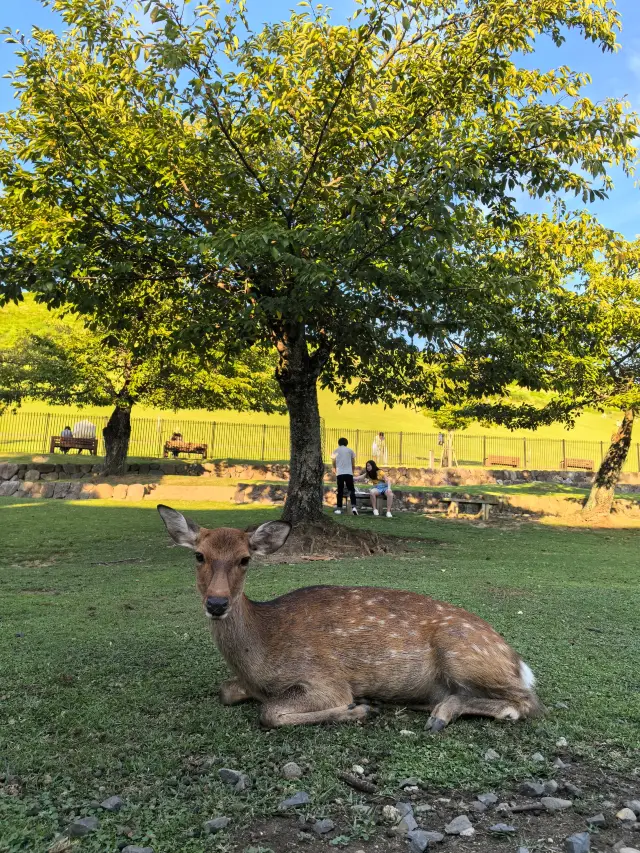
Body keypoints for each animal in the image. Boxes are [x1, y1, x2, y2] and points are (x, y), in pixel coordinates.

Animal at [157, 505, 545, 730]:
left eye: (244, 559)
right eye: (198, 555)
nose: (217, 603)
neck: (260, 656)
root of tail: (519, 663)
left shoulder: (325, 679)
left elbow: (270, 714)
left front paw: (358, 709)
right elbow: (226, 691)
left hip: (464, 653)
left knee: (528, 703)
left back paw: (439, 715)